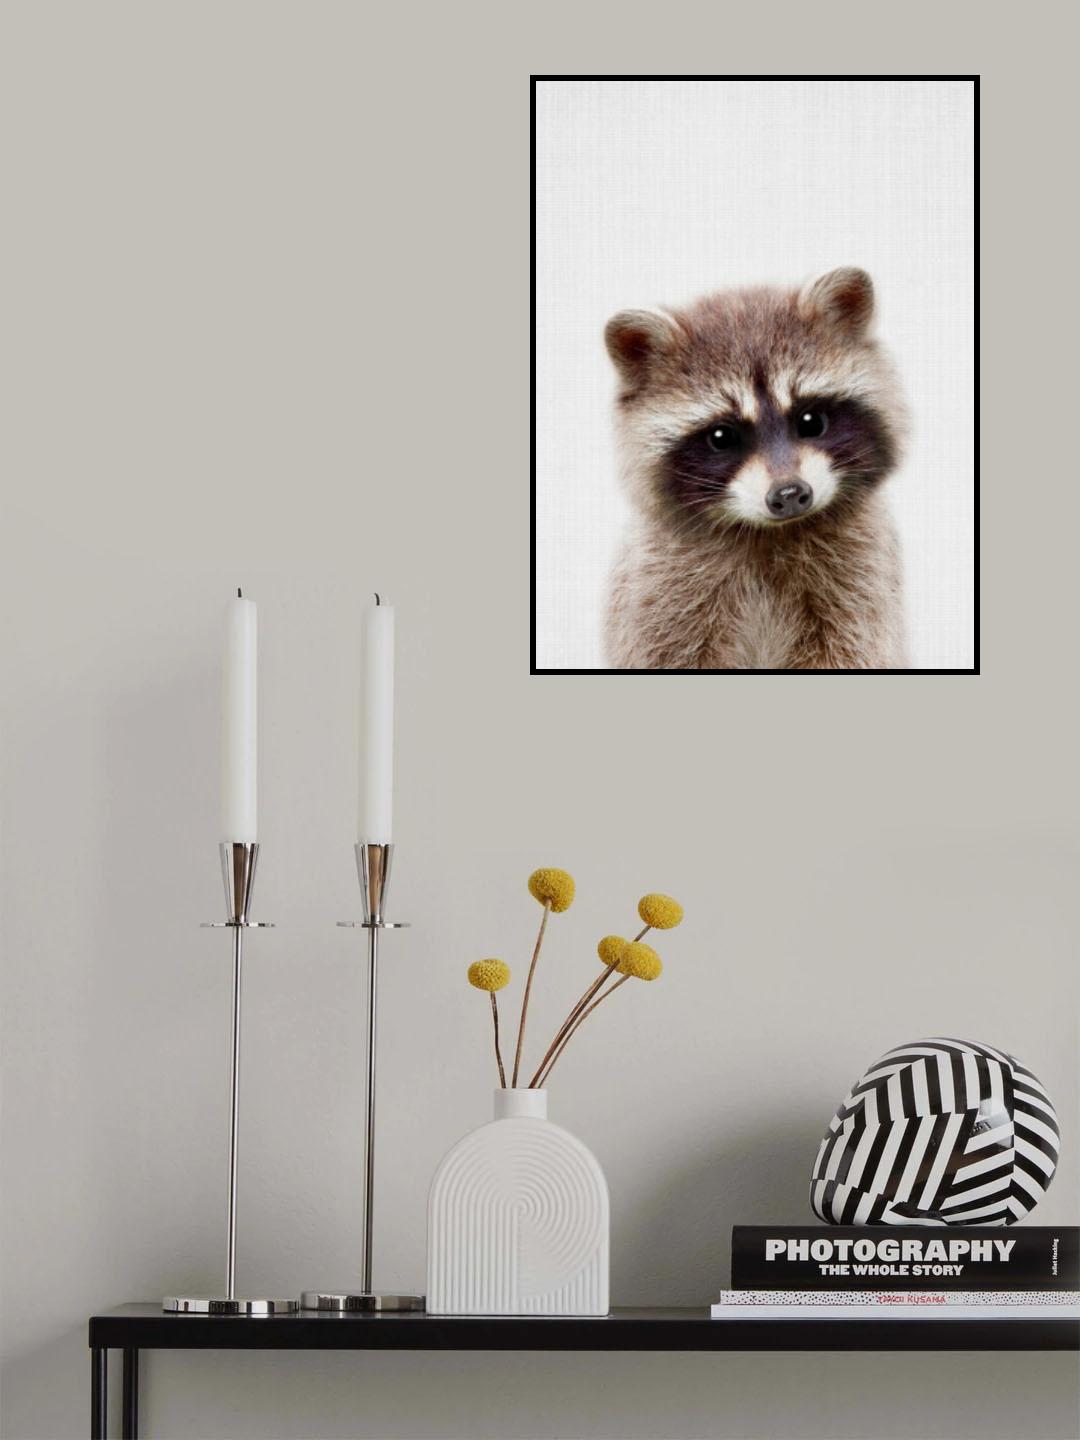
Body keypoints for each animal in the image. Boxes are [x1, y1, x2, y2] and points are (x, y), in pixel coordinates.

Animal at [603, 268, 907, 670]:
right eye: (721, 436)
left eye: (811, 421)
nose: (790, 494)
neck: (769, 533)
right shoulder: (660, 590)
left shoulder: (861, 578)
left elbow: (852, 648)